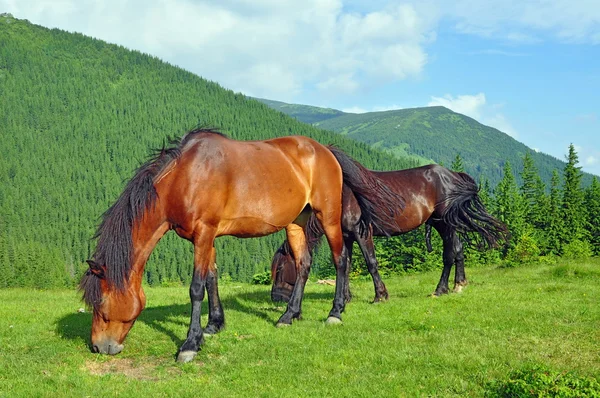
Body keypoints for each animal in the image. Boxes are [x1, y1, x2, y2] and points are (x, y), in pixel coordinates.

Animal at [77, 128, 400, 364]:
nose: (98, 347)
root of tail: (326, 151)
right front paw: (213, 326)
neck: (185, 177)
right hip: (296, 222)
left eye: (100, 305)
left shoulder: (204, 233)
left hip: (329, 217)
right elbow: (211, 278)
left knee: (340, 259)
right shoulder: (205, 238)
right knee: (304, 264)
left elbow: (196, 287)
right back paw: (289, 315)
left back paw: (335, 312)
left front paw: (190, 343)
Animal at [272, 160, 506, 304]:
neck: (342, 197)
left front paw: (380, 295)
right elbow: (346, 265)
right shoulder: (347, 236)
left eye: (280, 269)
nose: (276, 298)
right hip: (443, 224)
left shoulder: (362, 233)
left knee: (449, 253)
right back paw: (459, 284)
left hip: (444, 224)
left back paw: (441, 289)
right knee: (457, 249)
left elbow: (371, 263)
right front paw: (346, 297)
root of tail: (453, 175)